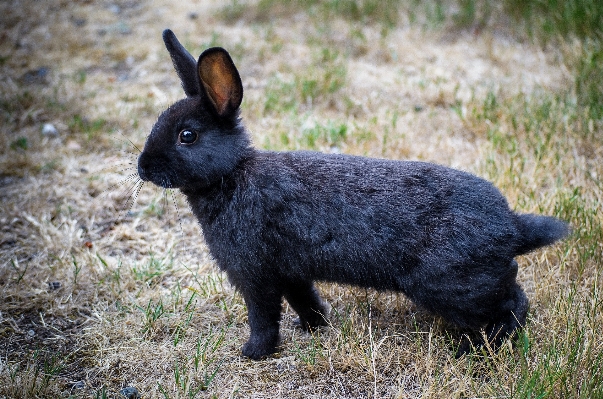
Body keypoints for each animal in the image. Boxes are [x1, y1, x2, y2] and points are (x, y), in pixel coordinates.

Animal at [137, 28, 572, 360]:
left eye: (187, 136)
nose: (142, 167)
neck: (232, 174)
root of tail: (512, 228)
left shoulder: (255, 272)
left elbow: (263, 315)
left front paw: (254, 352)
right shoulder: (290, 271)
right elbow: (305, 298)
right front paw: (313, 327)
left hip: (452, 286)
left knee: (510, 306)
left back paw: (474, 350)